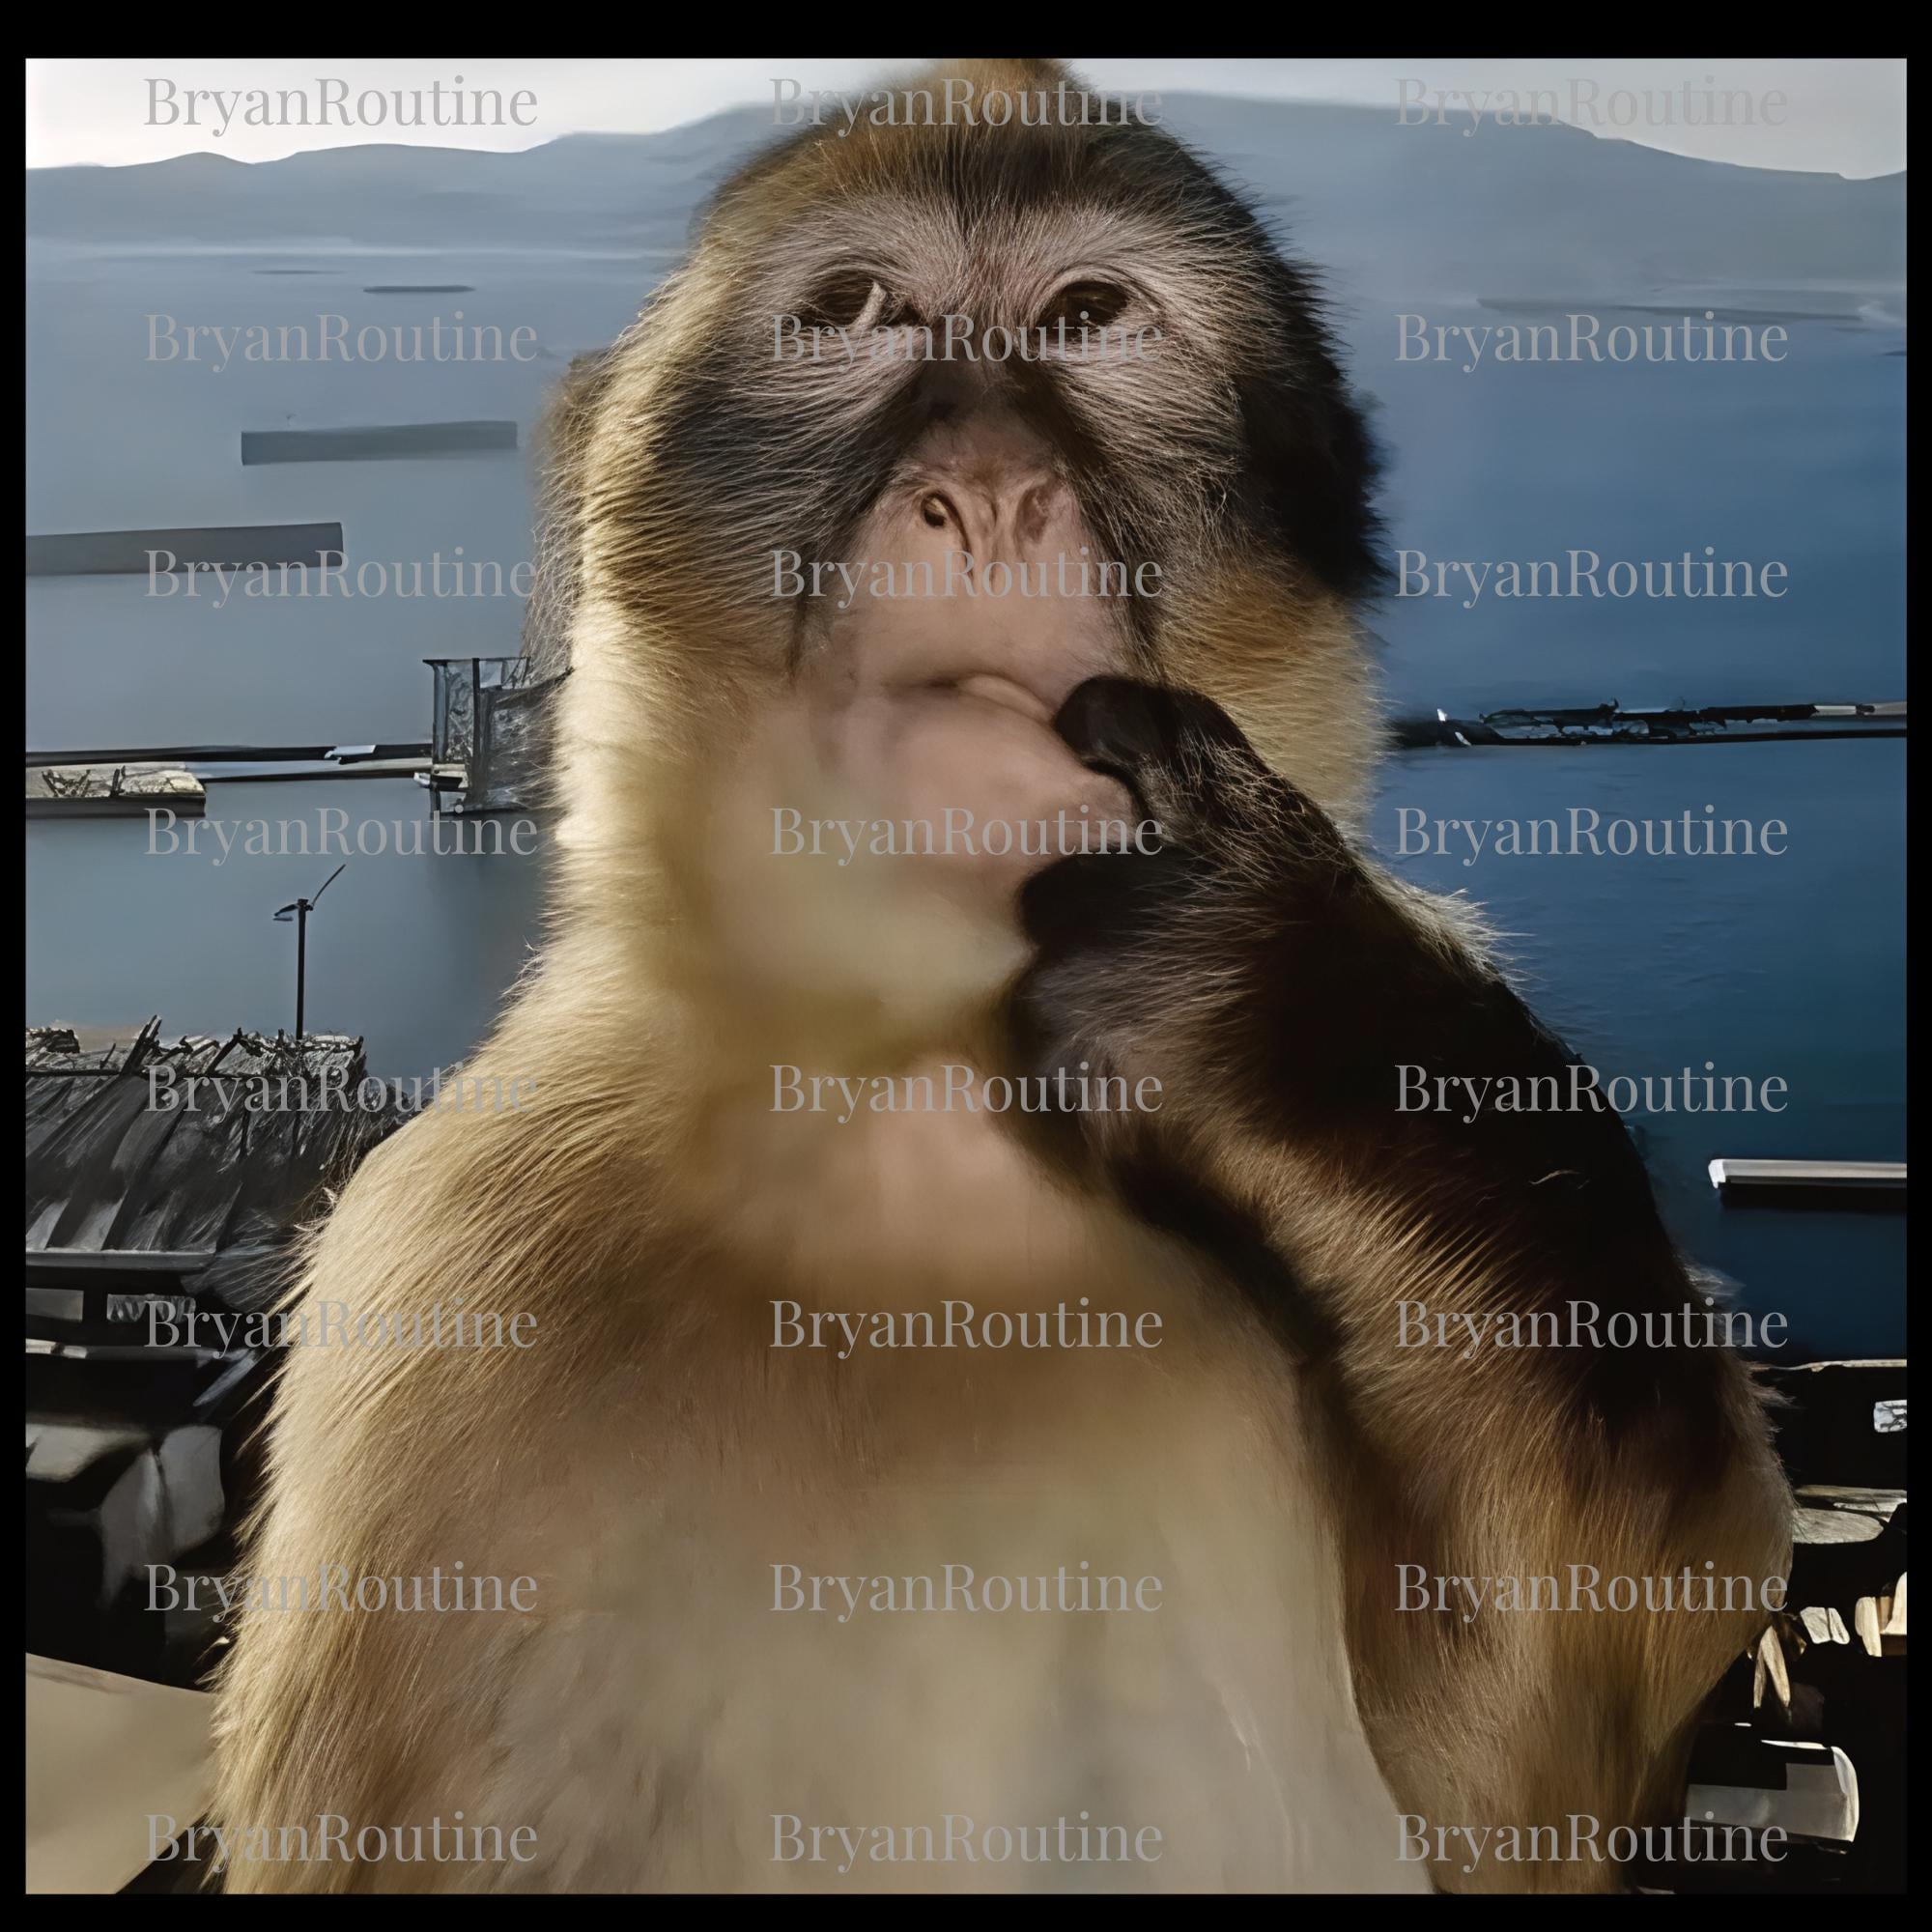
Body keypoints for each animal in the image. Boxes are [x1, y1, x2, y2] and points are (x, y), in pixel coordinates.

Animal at [208, 57, 1790, 1893]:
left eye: (1091, 317)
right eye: (856, 312)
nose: (987, 488)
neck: (918, 1111)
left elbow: (1525, 1792)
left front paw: (1265, 997)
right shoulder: (445, 1284)